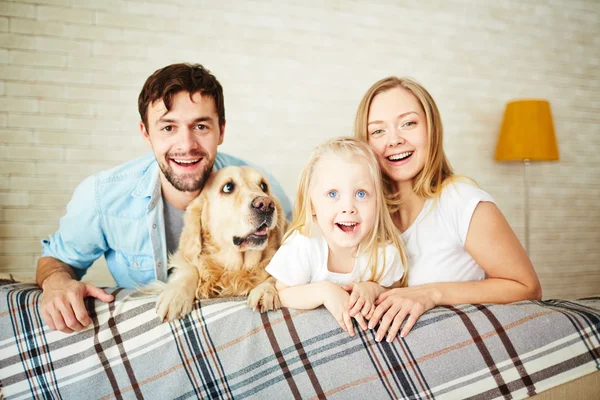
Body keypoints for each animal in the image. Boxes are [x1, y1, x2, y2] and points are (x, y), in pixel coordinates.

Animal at [155, 164, 286, 320]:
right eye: (228, 187)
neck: (237, 270)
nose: (266, 204)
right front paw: (176, 295)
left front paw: (265, 290)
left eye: (263, 186)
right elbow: (190, 268)